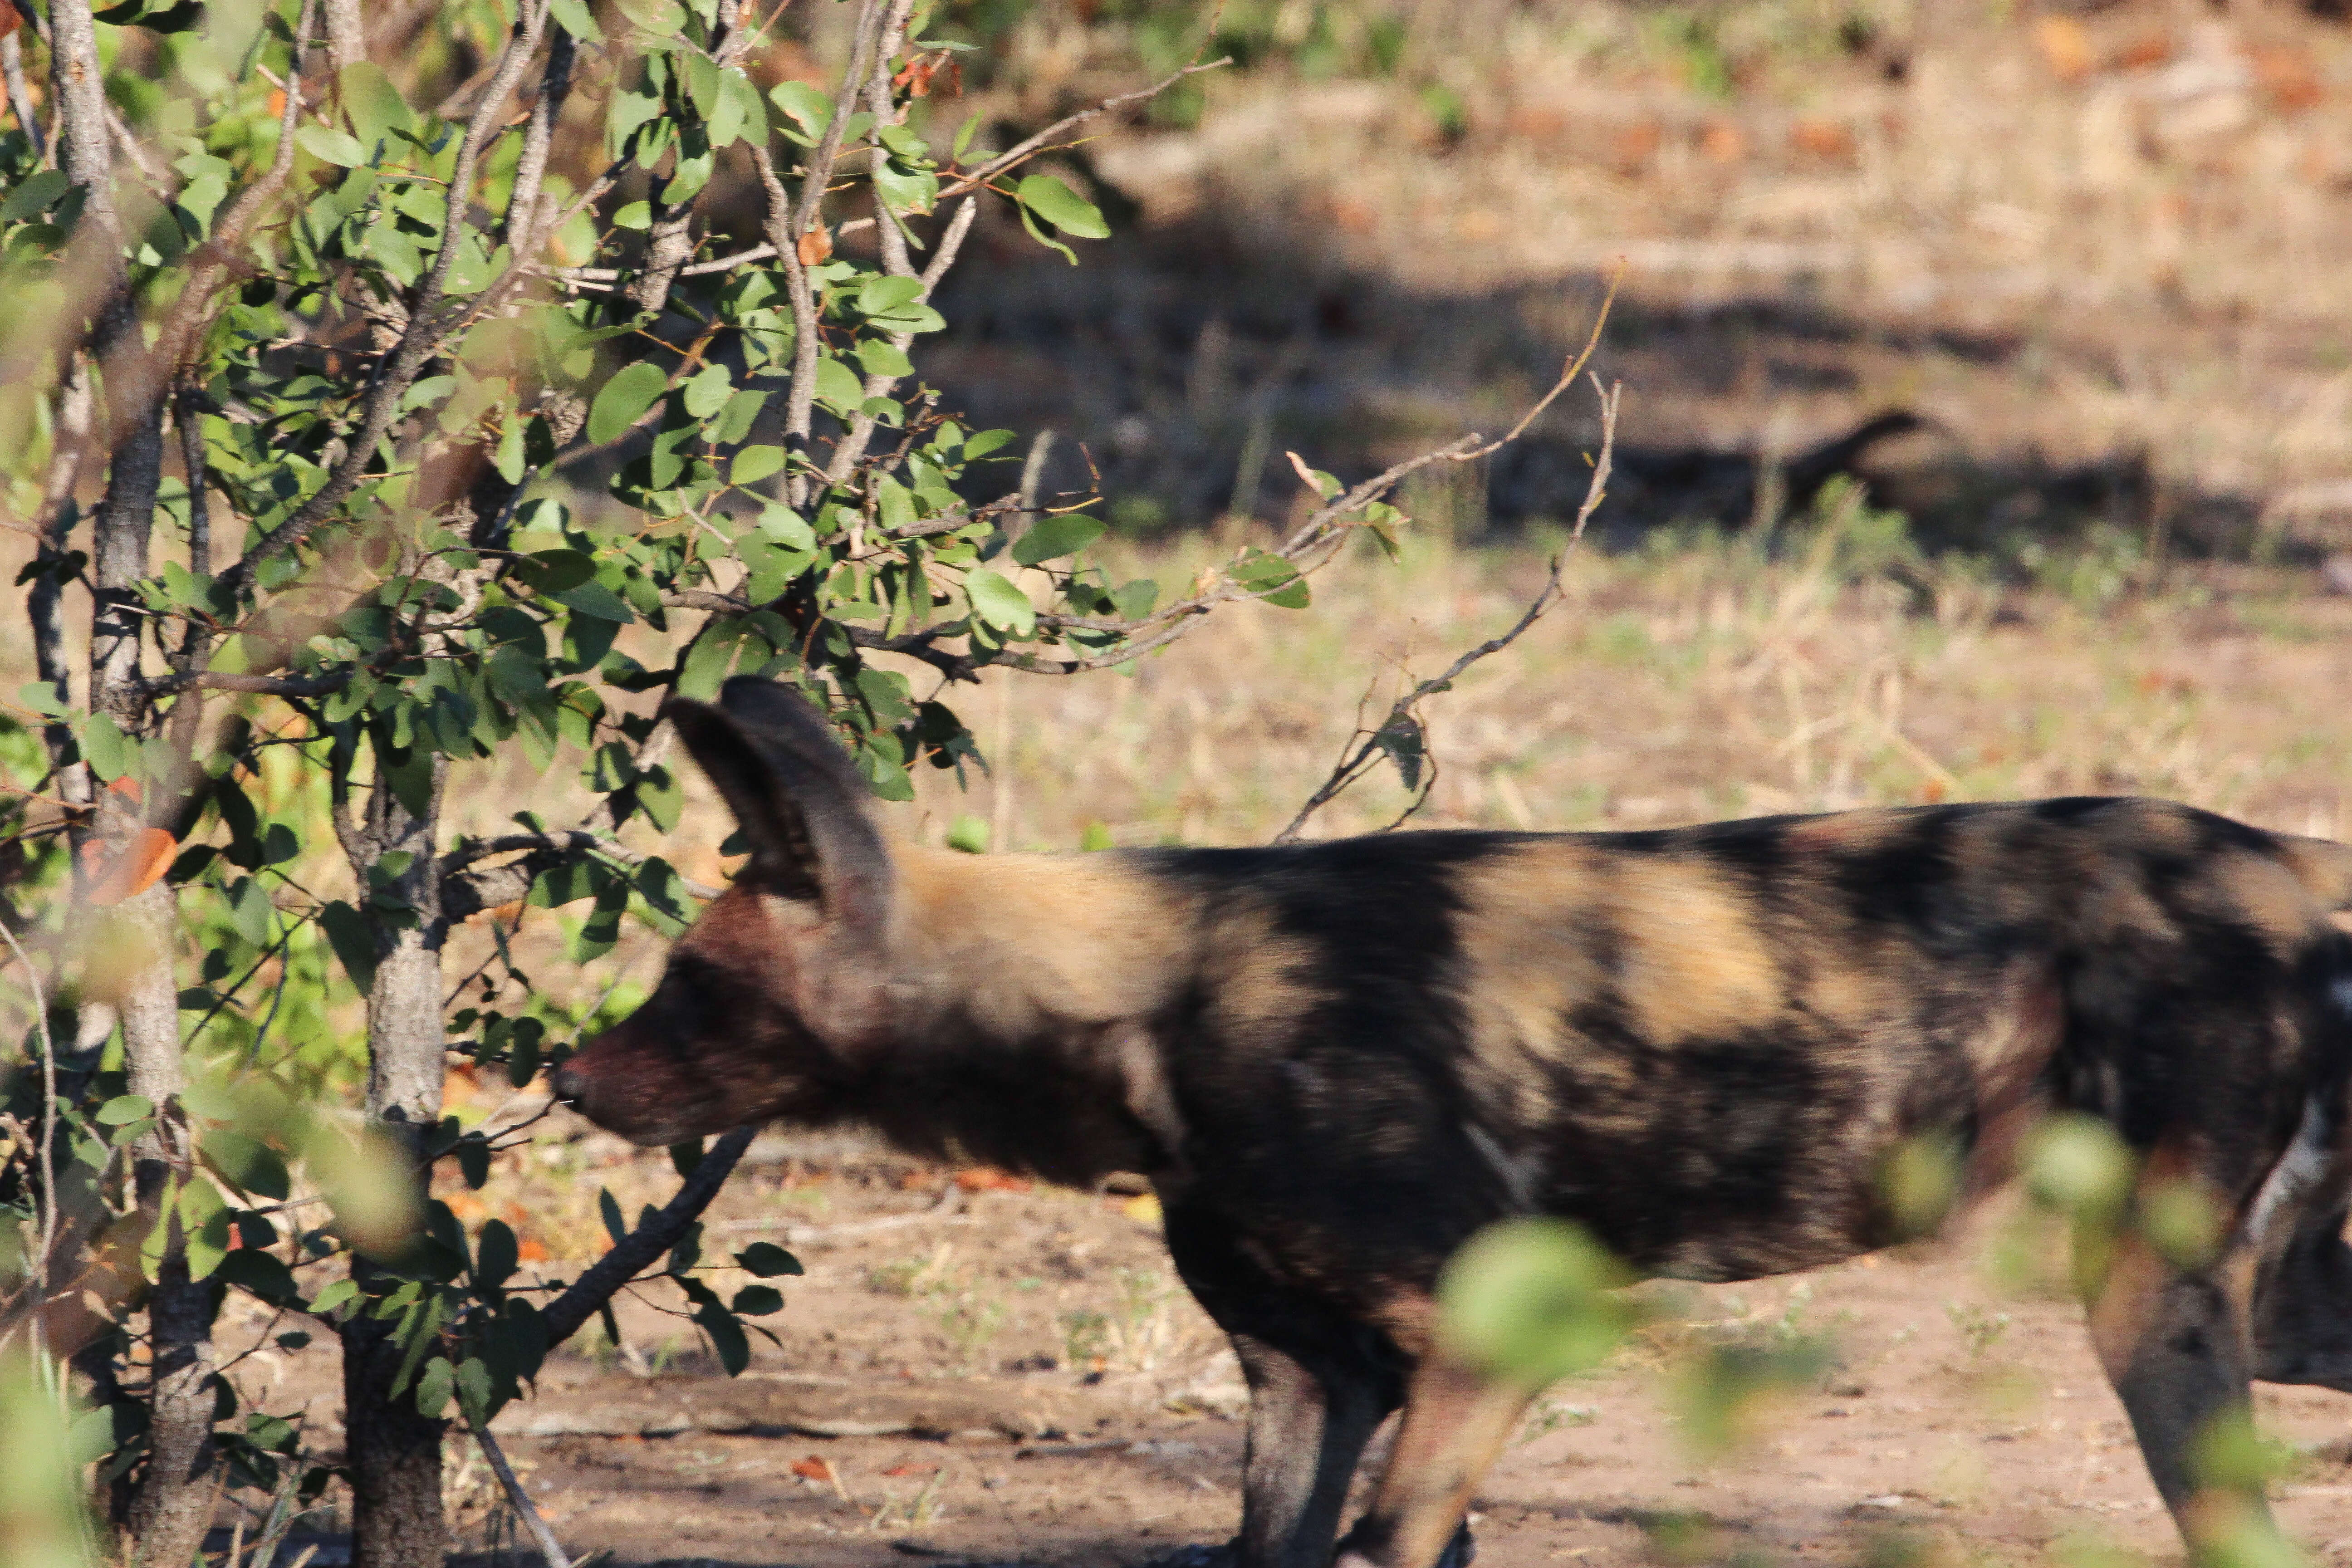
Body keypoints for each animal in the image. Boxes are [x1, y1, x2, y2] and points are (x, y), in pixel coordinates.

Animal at [555, 677, 2352, 1568]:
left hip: (2152, 1299)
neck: (1147, 991)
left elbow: (1393, 1545)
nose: (568, 1081)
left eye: (687, 987)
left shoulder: (1486, 1336)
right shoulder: (1310, 1381)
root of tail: (2276, 857)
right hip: (2256, 1311)